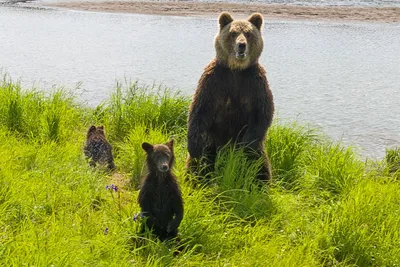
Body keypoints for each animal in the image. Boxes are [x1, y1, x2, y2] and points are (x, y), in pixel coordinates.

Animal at [186, 12, 274, 183]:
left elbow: (262, 113)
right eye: (233, 33)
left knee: (261, 167)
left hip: (259, 152)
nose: (241, 45)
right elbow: (199, 110)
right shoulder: (214, 82)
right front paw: (193, 146)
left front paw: (245, 147)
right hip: (212, 143)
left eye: (248, 33)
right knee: (200, 164)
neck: (236, 69)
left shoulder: (254, 84)